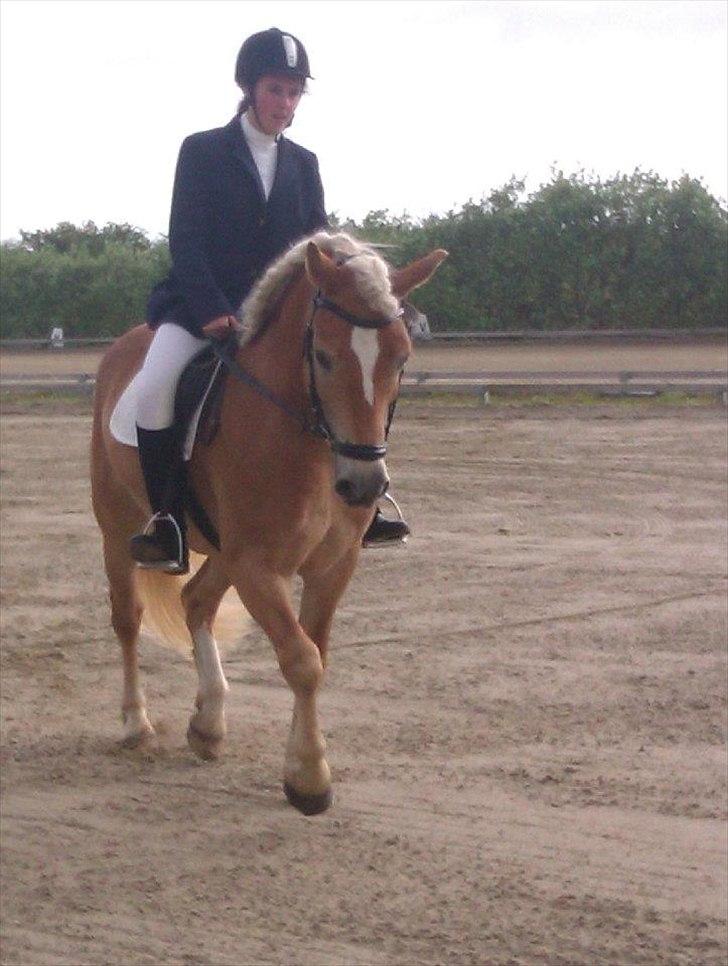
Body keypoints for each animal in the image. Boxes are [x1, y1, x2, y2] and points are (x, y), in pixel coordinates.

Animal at [90, 231, 447, 815]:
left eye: (401, 358)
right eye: (323, 356)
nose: (364, 486)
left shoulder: (329, 565)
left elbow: (315, 653)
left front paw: (301, 766)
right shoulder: (258, 566)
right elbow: (300, 658)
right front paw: (309, 778)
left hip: (223, 550)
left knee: (196, 601)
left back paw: (208, 724)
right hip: (117, 525)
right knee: (128, 618)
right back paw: (135, 723)